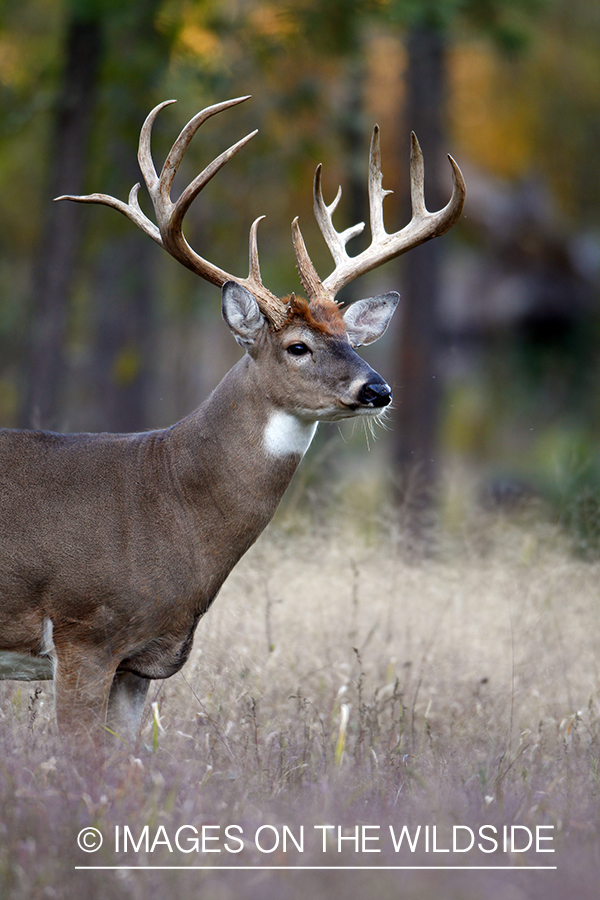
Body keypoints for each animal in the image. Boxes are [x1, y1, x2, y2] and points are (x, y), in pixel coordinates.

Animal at [0, 95, 464, 756]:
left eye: (351, 339)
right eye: (297, 346)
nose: (378, 389)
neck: (165, 500)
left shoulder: (141, 661)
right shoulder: (82, 629)